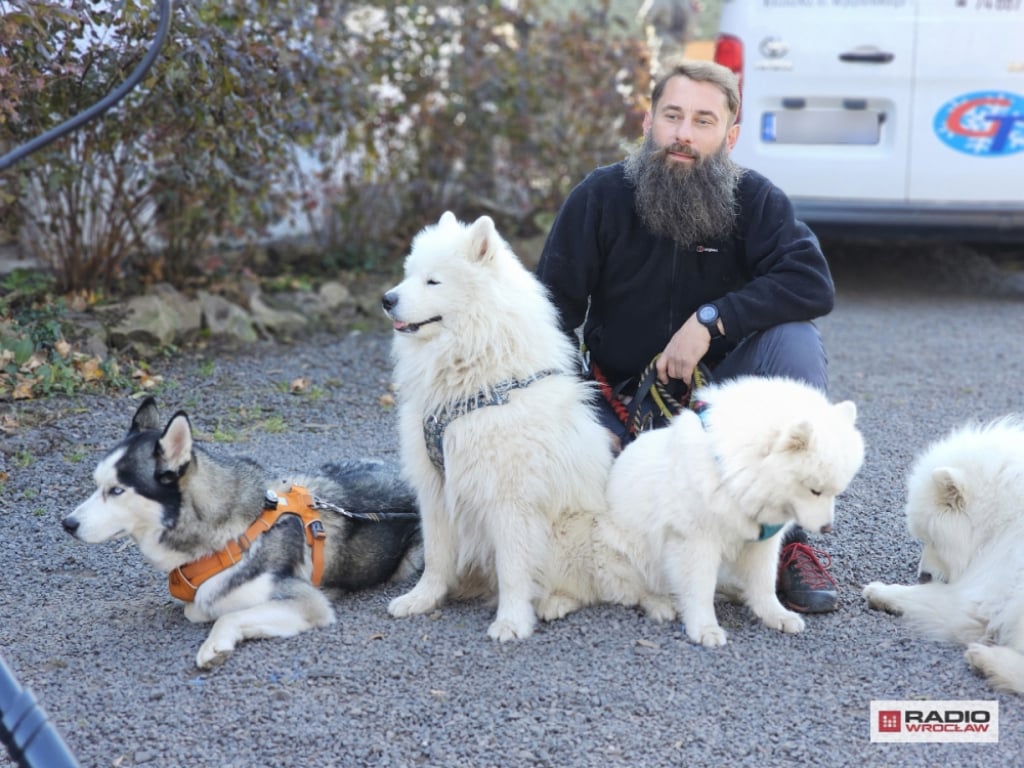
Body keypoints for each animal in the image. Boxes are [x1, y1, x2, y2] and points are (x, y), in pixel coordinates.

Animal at [61, 399, 421, 671]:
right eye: (96, 484)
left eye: (116, 490)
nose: (67, 523)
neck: (233, 534)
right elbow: (200, 608)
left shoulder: (307, 603)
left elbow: (229, 615)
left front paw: (216, 645)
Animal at [380, 210, 610, 643]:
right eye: (408, 274)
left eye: (433, 281)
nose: (387, 300)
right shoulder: (435, 488)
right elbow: (436, 555)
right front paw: (422, 598)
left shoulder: (510, 497)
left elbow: (514, 568)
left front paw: (512, 621)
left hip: (571, 532)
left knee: (585, 585)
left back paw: (555, 602)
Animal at [593, 378, 864, 651]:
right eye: (814, 490)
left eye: (836, 491)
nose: (827, 528)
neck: (730, 475)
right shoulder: (695, 541)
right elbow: (699, 589)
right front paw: (705, 629)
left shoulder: (762, 541)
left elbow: (764, 583)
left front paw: (775, 615)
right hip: (617, 548)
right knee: (632, 588)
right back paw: (661, 604)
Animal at [864, 417, 1024, 696]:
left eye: (932, 540)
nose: (923, 576)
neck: (1002, 519)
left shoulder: (987, 585)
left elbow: (936, 597)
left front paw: (882, 591)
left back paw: (989, 662)